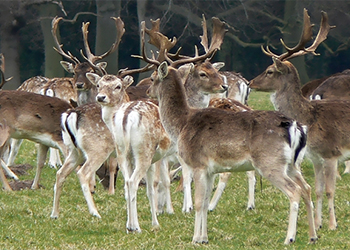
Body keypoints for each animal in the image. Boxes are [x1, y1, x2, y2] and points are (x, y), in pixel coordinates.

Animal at [250, 8, 350, 231]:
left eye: (270, 71)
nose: (251, 82)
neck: (309, 118)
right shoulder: (315, 157)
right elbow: (318, 189)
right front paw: (319, 224)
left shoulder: (331, 153)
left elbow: (330, 190)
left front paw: (332, 225)